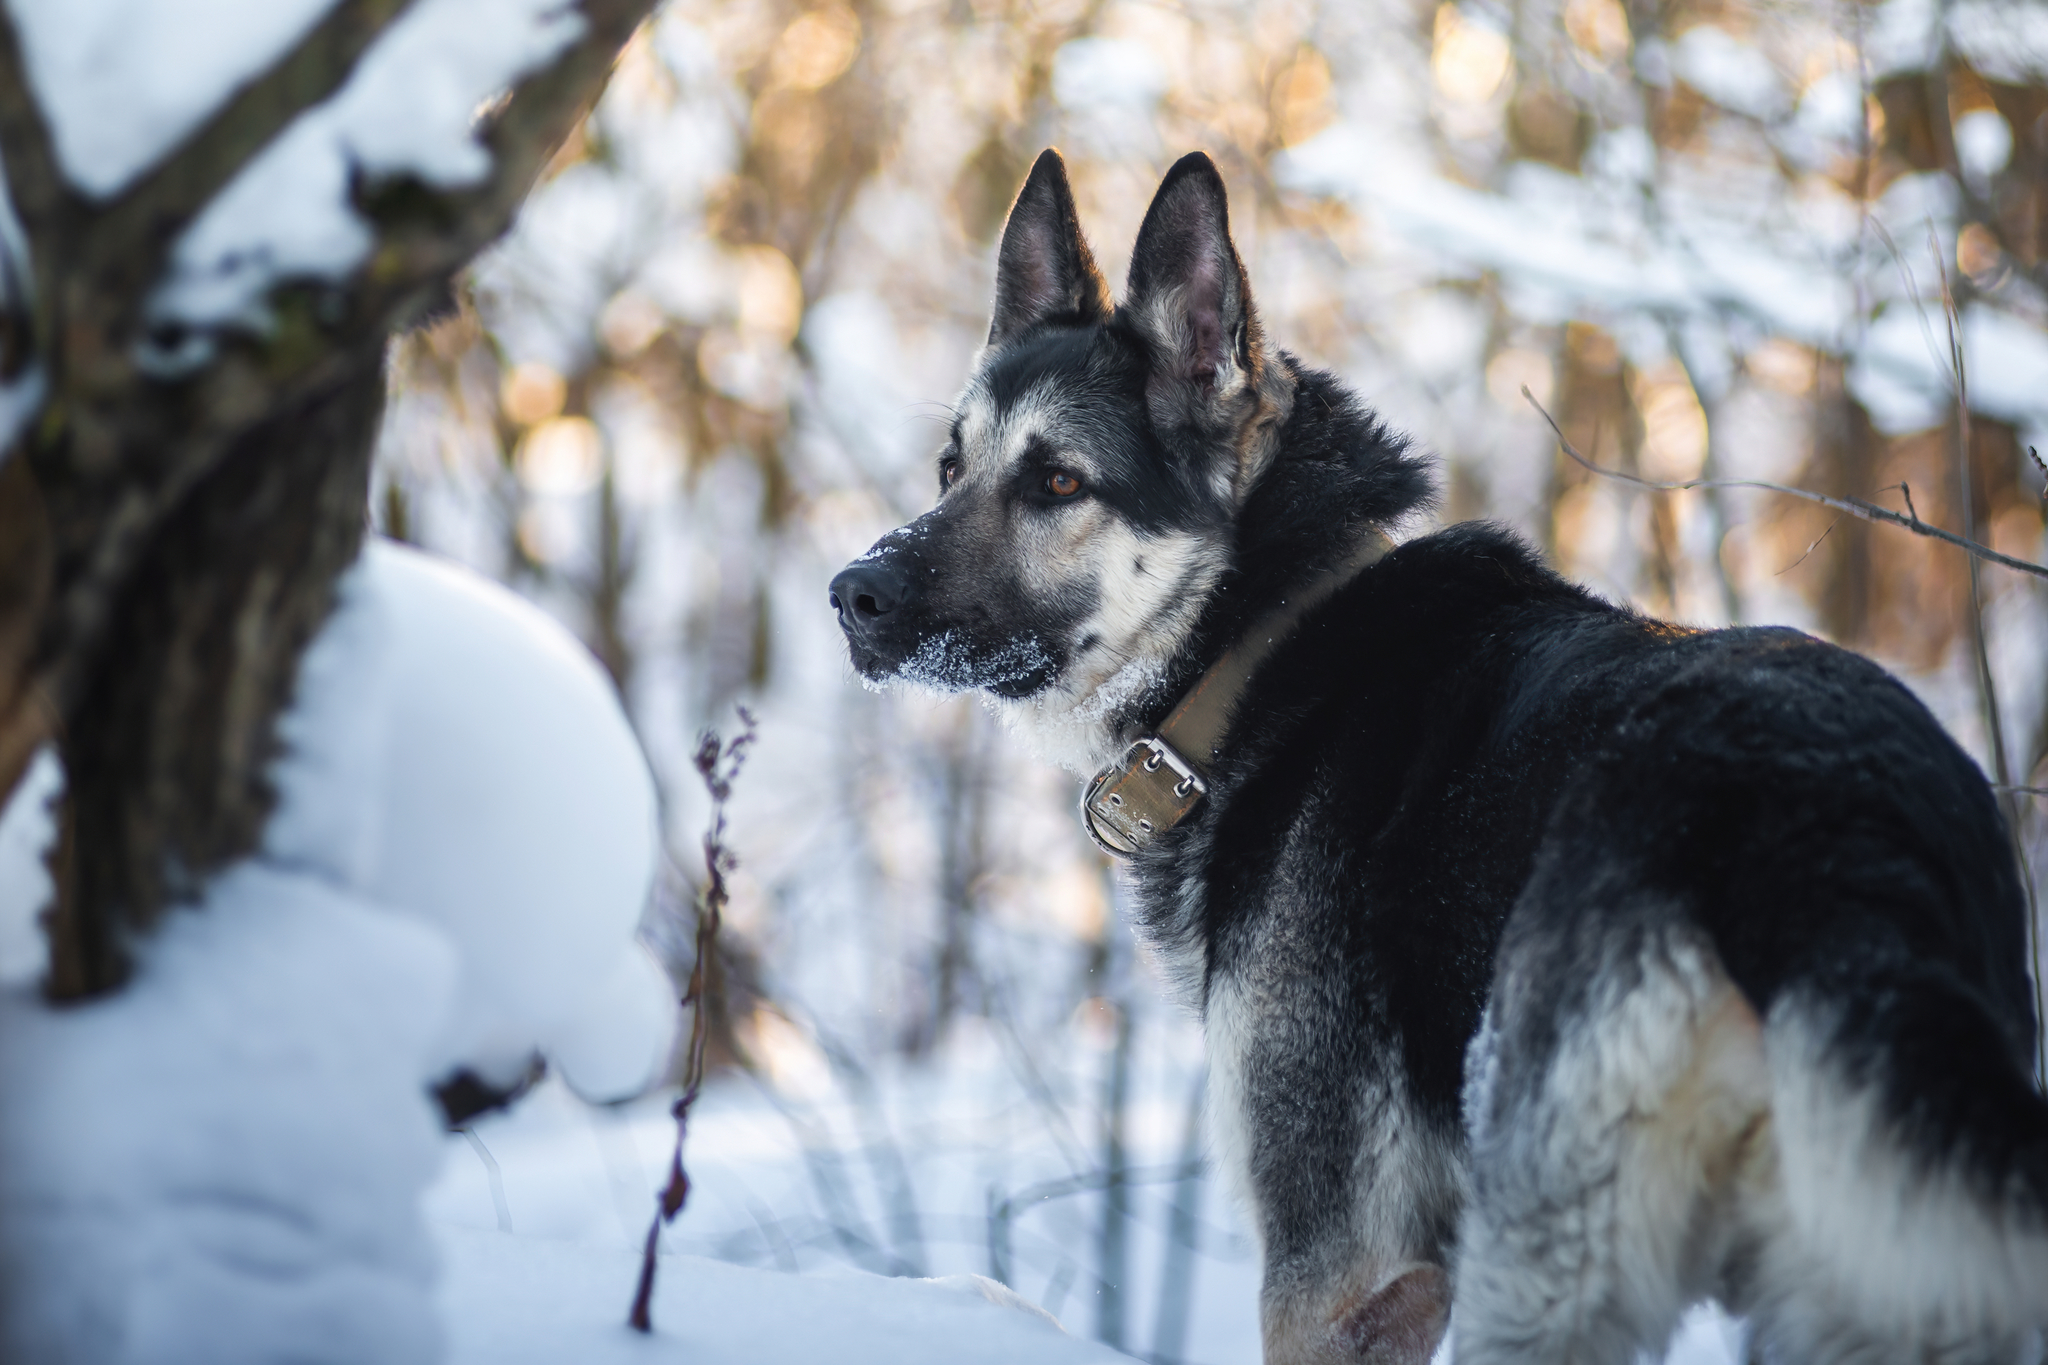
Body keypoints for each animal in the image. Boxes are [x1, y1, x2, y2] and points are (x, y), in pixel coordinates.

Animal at [823, 152, 2039, 1365]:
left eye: (1059, 483)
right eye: (949, 465)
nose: (850, 596)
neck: (1267, 637)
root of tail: (1831, 822)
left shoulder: (1340, 1276)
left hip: (1542, 1268)